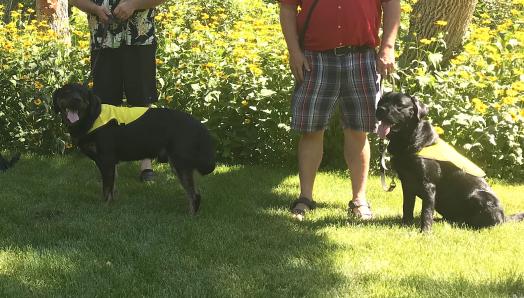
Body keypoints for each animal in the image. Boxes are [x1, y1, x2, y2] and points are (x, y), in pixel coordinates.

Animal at [52, 83, 216, 214]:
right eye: (67, 91)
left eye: (83, 94)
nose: (76, 100)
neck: (93, 117)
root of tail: (200, 126)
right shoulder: (111, 163)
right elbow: (113, 186)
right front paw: (113, 203)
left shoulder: (106, 160)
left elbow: (107, 188)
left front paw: (104, 207)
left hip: (180, 163)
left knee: (194, 195)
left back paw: (190, 215)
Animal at [374, 92, 520, 232]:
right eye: (381, 102)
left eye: (399, 105)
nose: (380, 109)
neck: (407, 141)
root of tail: (504, 217)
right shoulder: (407, 182)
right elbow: (407, 206)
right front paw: (405, 225)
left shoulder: (428, 184)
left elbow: (426, 211)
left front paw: (425, 232)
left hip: (480, 196)